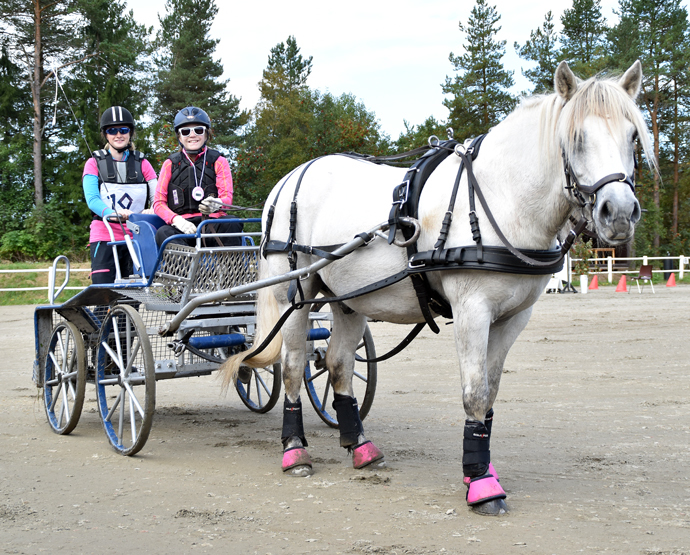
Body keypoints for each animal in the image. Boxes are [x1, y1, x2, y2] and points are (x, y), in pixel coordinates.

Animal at [219, 58, 652, 516]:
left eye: (632, 137)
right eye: (577, 138)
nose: (619, 213)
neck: (504, 198)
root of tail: (289, 179)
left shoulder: (514, 318)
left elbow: (491, 392)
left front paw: (481, 467)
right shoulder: (471, 310)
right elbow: (475, 393)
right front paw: (481, 483)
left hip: (349, 299)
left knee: (337, 363)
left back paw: (360, 445)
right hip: (295, 291)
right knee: (293, 364)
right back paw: (295, 449)